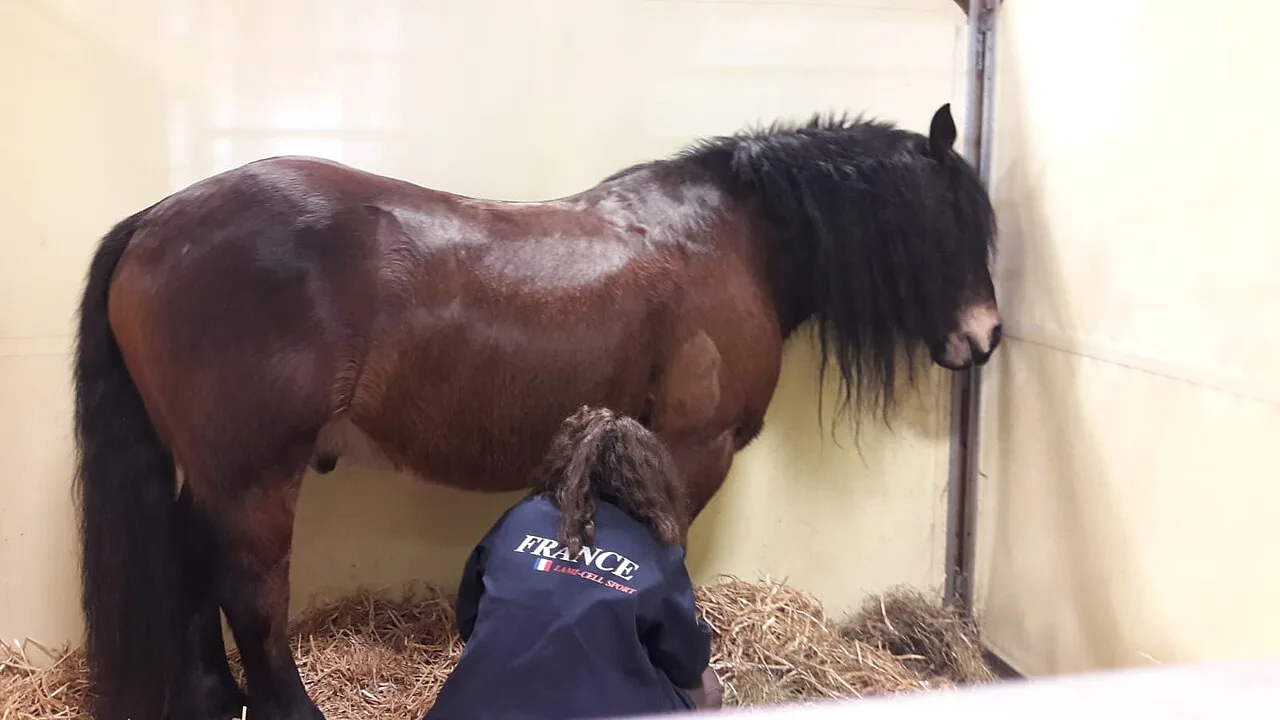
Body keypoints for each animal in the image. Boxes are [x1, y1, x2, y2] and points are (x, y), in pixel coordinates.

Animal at [71, 103, 999, 720]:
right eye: (949, 221)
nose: (985, 337)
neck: (729, 240)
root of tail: (157, 221)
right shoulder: (691, 450)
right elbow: (672, 558)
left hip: (215, 476)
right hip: (256, 478)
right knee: (251, 594)